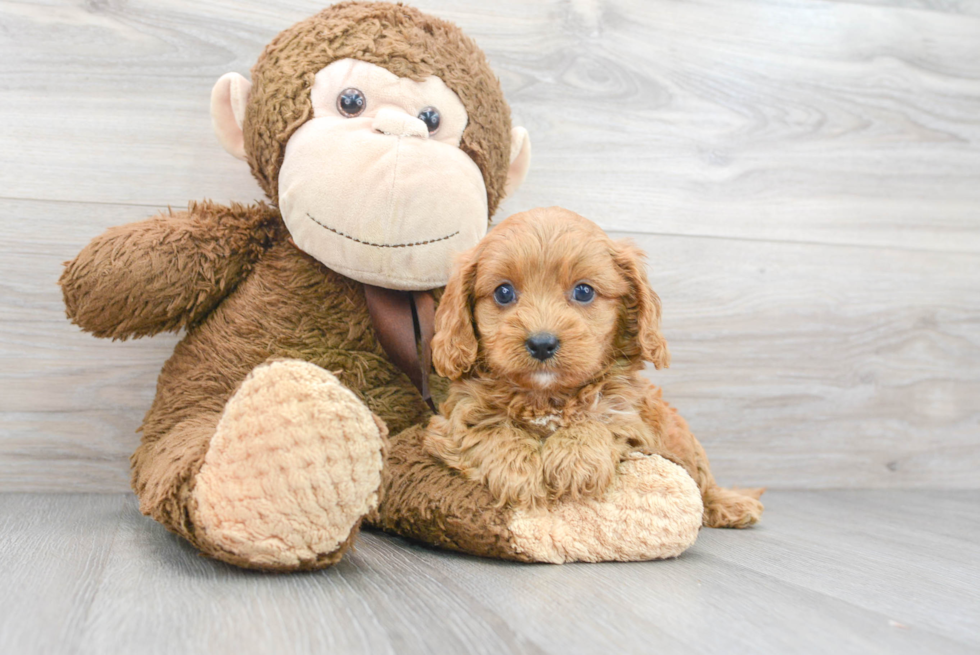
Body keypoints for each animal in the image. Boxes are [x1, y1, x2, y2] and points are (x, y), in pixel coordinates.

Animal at [428, 210, 764, 528]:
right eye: (503, 293)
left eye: (584, 292)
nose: (541, 343)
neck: (546, 397)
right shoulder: (456, 416)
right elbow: (487, 428)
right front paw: (517, 470)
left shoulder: (632, 417)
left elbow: (601, 419)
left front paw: (576, 459)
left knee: (703, 481)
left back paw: (731, 505)